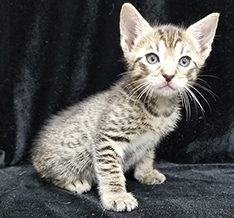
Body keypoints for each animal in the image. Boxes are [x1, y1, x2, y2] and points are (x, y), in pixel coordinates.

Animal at [31, 2, 219, 212]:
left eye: (184, 61)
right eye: (152, 58)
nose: (169, 75)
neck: (158, 108)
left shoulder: (151, 139)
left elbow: (147, 154)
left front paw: (145, 173)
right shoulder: (108, 138)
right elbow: (110, 170)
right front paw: (117, 195)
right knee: (48, 173)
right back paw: (73, 180)